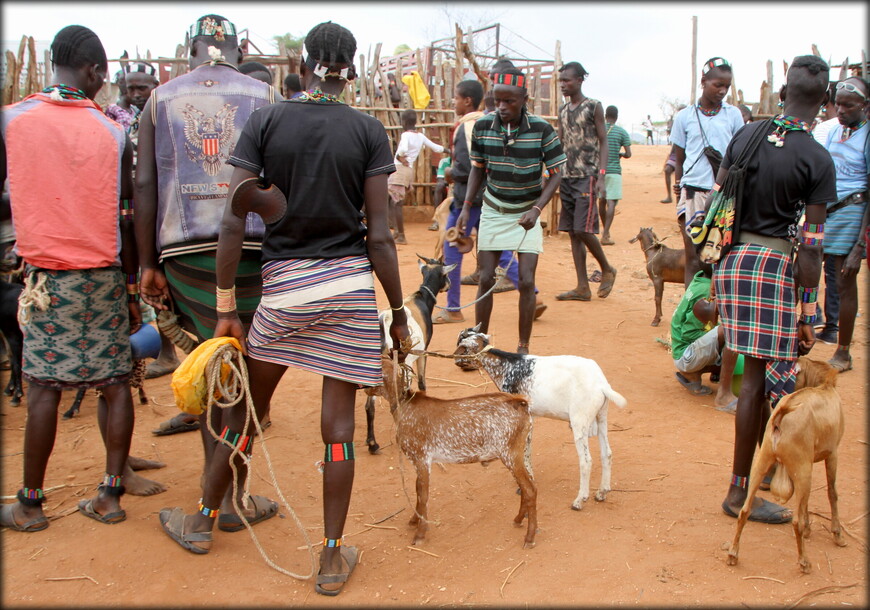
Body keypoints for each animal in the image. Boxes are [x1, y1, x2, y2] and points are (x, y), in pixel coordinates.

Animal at [364, 253, 456, 452]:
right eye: (445, 273)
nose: (449, 285)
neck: (421, 299)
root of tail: (384, 320)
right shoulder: (422, 352)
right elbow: (421, 382)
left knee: (369, 405)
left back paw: (372, 443)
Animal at [368, 352, 540, 548]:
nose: (363, 388)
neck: (405, 405)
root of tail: (521, 403)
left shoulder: (421, 457)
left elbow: (423, 494)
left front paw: (420, 533)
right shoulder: (420, 461)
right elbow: (418, 491)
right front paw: (414, 521)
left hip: (510, 454)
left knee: (530, 489)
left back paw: (529, 537)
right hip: (520, 453)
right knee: (528, 486)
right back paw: (518, 519)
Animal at [456, 326, 628, 510]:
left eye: (462, 345)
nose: (456, 360)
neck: (507, 366)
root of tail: (601, 384)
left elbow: (523, 451)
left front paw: (523, 484)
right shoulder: (530, 416)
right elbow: (528, 449)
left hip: (579, 422)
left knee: (586, 461)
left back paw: (580, 500)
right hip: (601, 417)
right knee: (607, 453)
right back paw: (602, 492)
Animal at [724, 356, 848, 568]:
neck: (823, 385)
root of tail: (780, 416)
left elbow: (806, 502)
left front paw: (809, 531)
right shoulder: (832, 454)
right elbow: (832, 493)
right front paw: (837, 535)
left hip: (764, 461)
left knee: (744, 510)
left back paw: (733, 554)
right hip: (802, 468)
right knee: (795, 521)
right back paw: (804, 562)